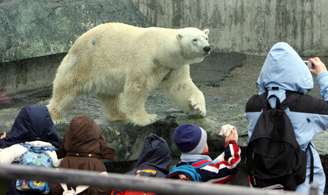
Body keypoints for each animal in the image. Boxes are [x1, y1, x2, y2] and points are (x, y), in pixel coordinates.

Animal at [47, 22, 211, 126]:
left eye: (206, 37)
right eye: (194, 40)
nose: (207, 48)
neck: (160, 49)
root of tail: (77, 41)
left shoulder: (173, 66)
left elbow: (181, 86)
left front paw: (198, 108)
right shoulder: (145, 59)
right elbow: (137, 87)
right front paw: (147, 118)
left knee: (110, 95)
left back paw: (120, 114)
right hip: (85, 61)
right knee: (67, 88)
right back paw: (56, 116)